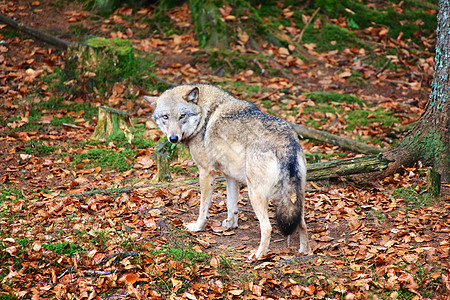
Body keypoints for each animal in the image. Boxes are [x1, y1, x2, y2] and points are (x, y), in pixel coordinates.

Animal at [146, 83, 312, 258]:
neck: (204, 116)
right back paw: (305, 252)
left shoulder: (207, 172)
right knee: (302, 224)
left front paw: (198, 227)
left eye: (182, 116)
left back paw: (257, 256)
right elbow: (231, 205)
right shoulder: (230, 175)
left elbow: (203, 207)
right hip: (296, 197)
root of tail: (285, 143)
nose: (173, 138)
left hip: (255, 194)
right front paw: (231, 225)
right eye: (165, 117)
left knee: (267, 228)